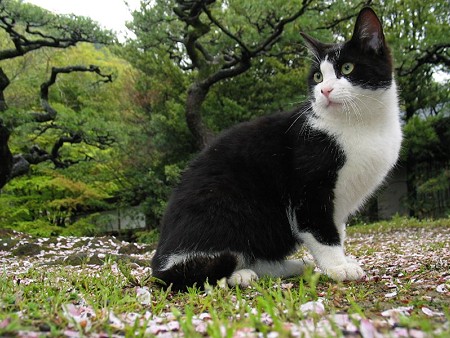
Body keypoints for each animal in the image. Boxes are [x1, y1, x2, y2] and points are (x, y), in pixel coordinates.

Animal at [150, 7, 400, 290]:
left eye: (347, 67)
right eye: (318, 76)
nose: (324, 90)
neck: (360, 124)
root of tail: (160, 262)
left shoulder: (338, 204)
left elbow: (338, 230)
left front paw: (340, 261)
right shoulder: (308, 189)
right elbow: (321, 231)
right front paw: (338, 267)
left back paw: (290, 266)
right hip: (231, 206)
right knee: (200, 270)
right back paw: (238, 274)